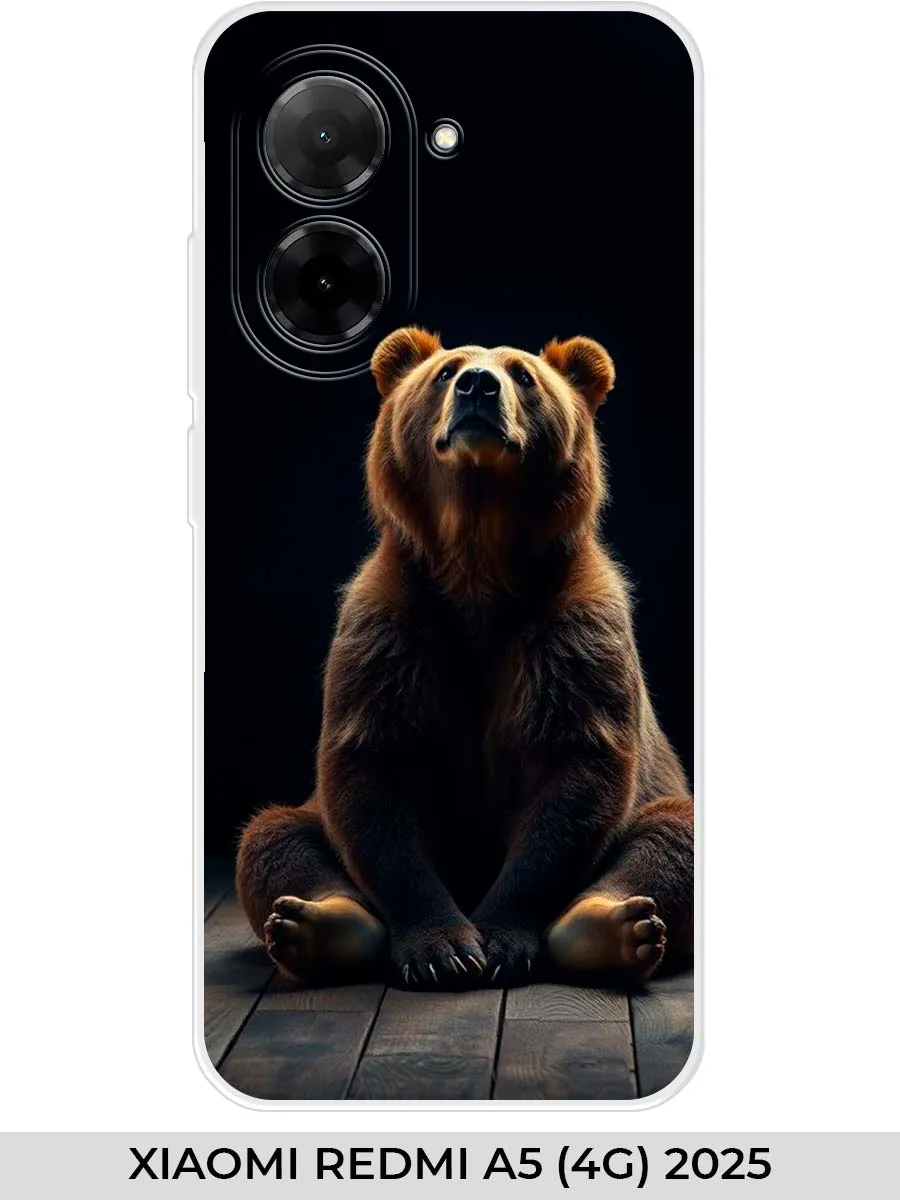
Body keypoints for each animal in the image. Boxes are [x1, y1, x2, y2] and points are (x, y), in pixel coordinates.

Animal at [235, 327, 693, 988]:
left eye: (524, 374)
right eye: (446, 370)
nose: (479, 385)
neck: (477, 559)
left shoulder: (573, 629)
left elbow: (577, 770)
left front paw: (498, 939)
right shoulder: (389, 627)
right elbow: (371, 770)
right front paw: (443, 948)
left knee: (674, 831)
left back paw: (610, 926)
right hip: (308, 814)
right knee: (270, 835)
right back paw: (319, 924)